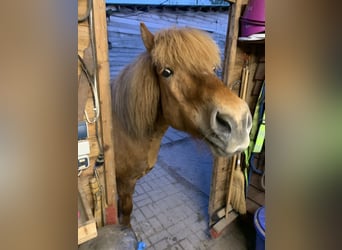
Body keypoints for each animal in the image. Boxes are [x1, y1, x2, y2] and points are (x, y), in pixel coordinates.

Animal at [111, 23, 252, 227]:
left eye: (213, 68)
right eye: (166, 72)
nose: (238, 121)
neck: (124, 130)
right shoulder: (125, 183)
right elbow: (126, 211)